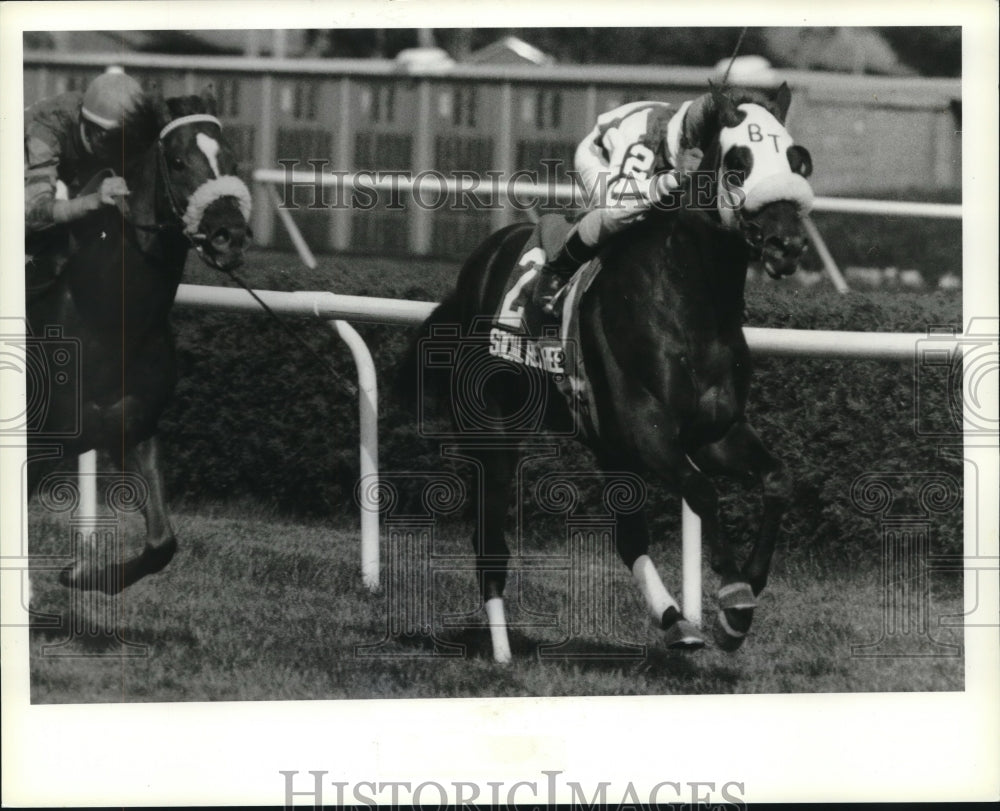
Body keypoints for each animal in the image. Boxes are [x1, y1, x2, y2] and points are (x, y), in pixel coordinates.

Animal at [26, 90, 252, 596]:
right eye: (178, 160)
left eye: (232, 160)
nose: (229, 234)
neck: (105, 319)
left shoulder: (135, 427)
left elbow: (162, 543)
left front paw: (85, 574)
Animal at [402, 82, 816, 664]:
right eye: (738, 165)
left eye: (798, 160)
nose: (788, 245)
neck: (690, 306)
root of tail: (477, 265)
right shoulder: (650, 432)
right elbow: (702, 491)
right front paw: (734, 598)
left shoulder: (715, 432)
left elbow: (778, 479)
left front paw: (747, 591)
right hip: (493, 430)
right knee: (490, 543)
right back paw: (502, 654)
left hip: (604, 441)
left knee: (628, 537)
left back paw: (675, 622)